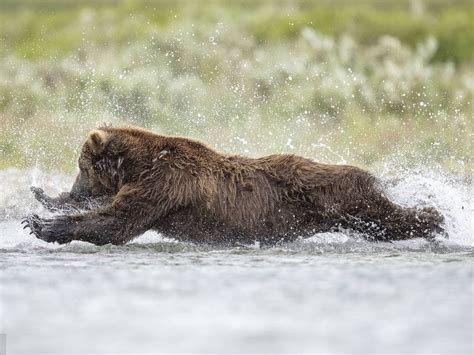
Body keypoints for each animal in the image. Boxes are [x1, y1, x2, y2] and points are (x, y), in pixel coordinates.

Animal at [22, 126, 444, 246]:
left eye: (80, 167)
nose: (76, 190)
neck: (137, 167)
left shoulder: (166, 184)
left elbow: (117, 222)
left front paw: (42, 225)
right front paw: (43, 197)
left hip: (340, 198)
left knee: (386, 217)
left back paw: (436, 216)